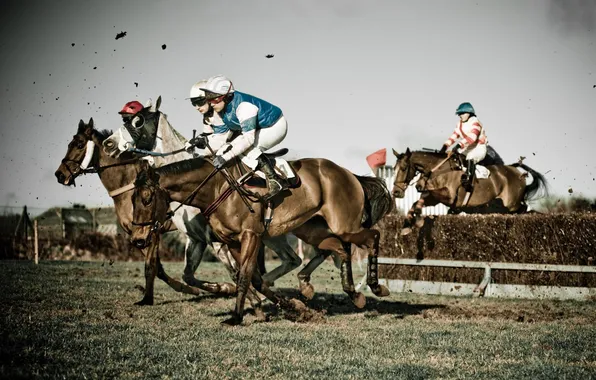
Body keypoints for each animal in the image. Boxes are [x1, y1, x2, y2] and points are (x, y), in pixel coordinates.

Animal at [129, 153, 396, 326]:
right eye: (132, 199)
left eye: (147, 198)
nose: (138, 240)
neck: (217, 188)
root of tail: (349, 174)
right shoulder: (233, 242)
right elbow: (253, 279)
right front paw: (293, 308)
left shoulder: (251, 236)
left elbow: (244, 276)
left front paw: (236, 317)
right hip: (314, 230)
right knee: (339, 249)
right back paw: (349, 293)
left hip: (345, 226)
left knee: (372, 237)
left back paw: (376, 286)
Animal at [388, 148, 548, 235]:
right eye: (394, 169)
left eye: (403, 168)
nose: (396, 192)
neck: (440, 170)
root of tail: (516, 170)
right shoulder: (434, 199)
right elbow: (416, 203)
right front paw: (407, 227)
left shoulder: (451, 197)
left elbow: (425, 197)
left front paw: (419, 218)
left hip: (512, 205)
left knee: (525, 209)